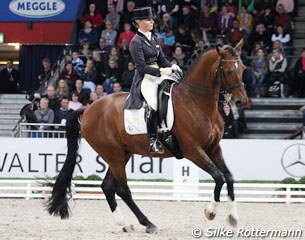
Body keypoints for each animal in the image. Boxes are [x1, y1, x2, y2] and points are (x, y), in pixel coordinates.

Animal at [47, 40, 247, 233]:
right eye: (229, 70)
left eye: (243, 68)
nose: (241, 101)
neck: (195, 102)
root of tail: (88, 108)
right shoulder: (193, 151)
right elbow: (219, 177)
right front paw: (210, 212)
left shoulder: (213, 148)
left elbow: (229, 177)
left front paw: (233, 217)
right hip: (113, 154)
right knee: (123, 189)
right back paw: (148, 224)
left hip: (122, 154)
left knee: (107, 186)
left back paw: (124, 223)